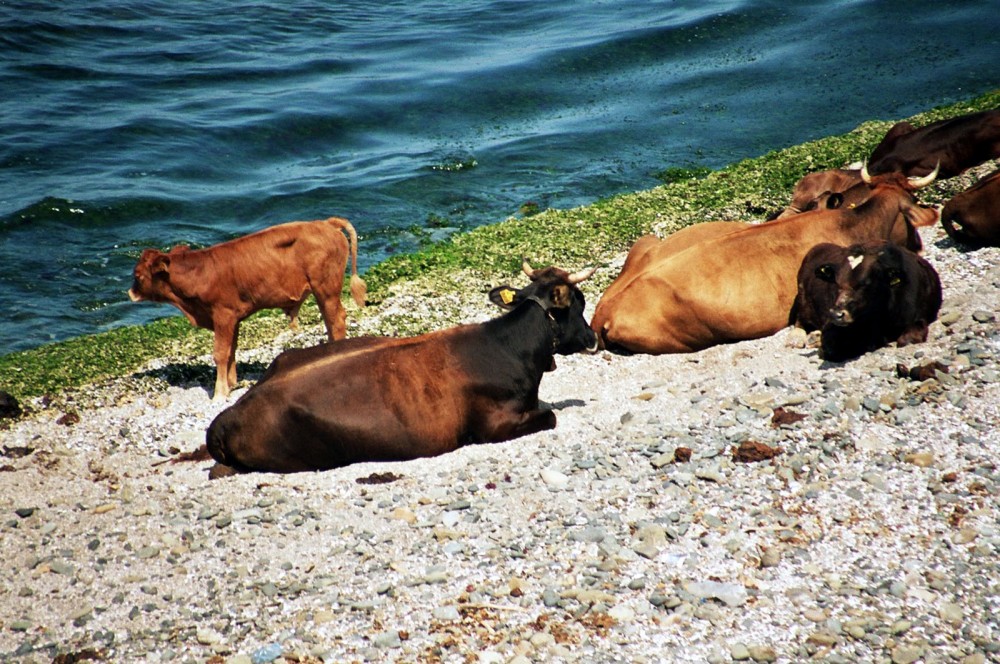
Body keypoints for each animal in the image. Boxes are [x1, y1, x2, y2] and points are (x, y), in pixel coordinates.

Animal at [199, 262, 596, 474]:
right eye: (578, 302)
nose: (593, 337)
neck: (509, 348)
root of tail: (228, 416)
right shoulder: (492, 424)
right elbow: (551, 416)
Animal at [788, 241, 944, 360]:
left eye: (866, 283)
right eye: (836, 282)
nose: (837, 315)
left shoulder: (918, 317)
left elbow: (907, 340)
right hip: (803, 303)